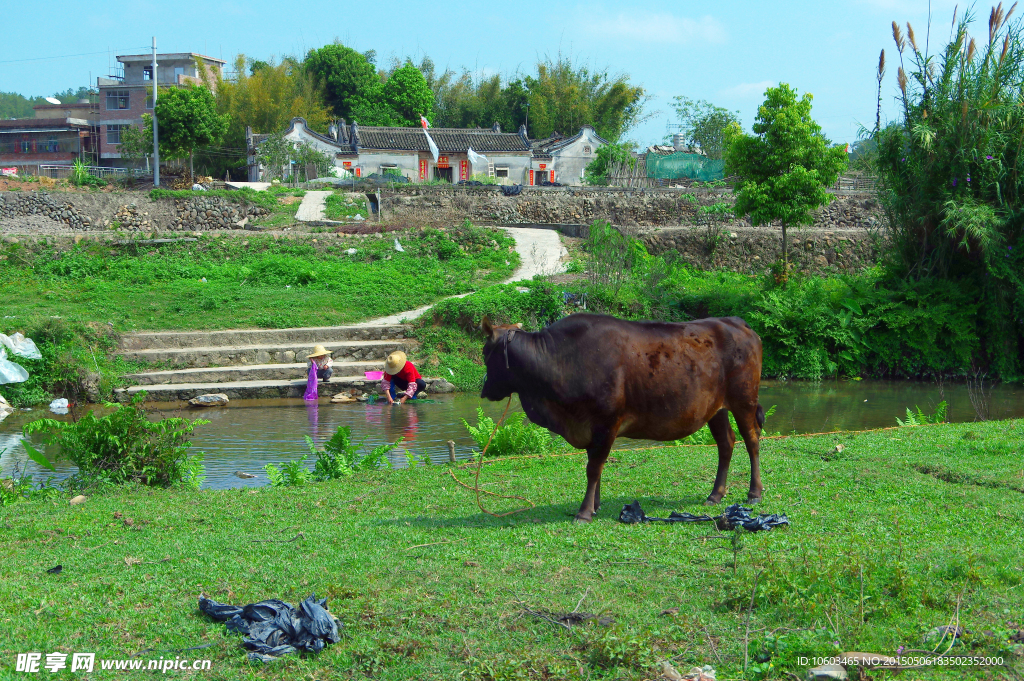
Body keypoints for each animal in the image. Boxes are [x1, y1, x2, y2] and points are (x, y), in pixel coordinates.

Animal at [483, 311, 765, 520]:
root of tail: (736, 322)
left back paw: (754, 492)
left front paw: (584, 512)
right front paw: (595, 505)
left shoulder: (607, 422)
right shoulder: (590, 426)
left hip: (744, 400)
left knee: (752, 440)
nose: (484, 388)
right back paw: (715, 494)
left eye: (486, 353)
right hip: (715, 408)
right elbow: (593, 465)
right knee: (726, 443)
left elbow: (593, 467)